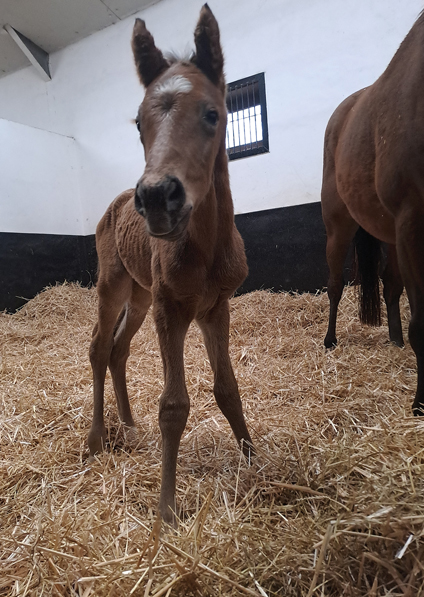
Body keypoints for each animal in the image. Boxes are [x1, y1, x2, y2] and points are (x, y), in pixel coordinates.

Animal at [86, 5, 252, 528]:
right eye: (139, 123)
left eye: (213, 113)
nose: (158, 198)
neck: (204, 250)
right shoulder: (171, 309)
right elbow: (174, 406)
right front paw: (165, 508)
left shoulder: (214, 308)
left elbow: (227, 389)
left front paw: (255, 459)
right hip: (115, 287)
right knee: (98, 347)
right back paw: (96, 440)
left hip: (140, 296)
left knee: (117, 350)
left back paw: (127, 423)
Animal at [322, 12, 424, 414]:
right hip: (339, 228)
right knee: (335, 285)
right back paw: (330, 340)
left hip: (393, 236)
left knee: (390, 284)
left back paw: (395, 340)